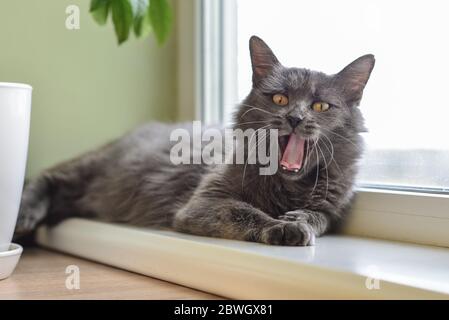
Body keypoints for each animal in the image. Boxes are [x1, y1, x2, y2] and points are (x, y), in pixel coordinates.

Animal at [14, 37, 372, 245]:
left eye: (320, 106)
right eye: (280, 99)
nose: (295, 118)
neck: (287, 187)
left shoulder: (331, 205)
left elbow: (318, 217)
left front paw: (298, 220)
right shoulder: (204, 203)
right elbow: (246, 212)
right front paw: (284, 228)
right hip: (90, 167)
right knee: (47, 177)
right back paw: (22, 217)